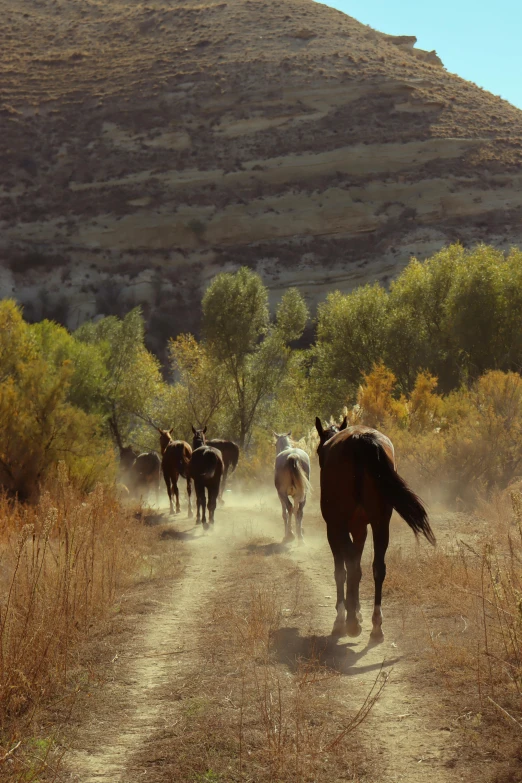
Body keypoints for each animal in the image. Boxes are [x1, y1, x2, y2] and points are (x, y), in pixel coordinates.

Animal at [314, 416, 432, 644]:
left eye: (317, 451)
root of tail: (360, 439)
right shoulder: (361, 529)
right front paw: (357, 610)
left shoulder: (334, 529)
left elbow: (341, 571)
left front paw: (343, 617)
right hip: (380, 523)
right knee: (377, 568)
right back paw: (376, 626)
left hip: (341, 526)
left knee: (352, 566)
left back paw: (351, 623)